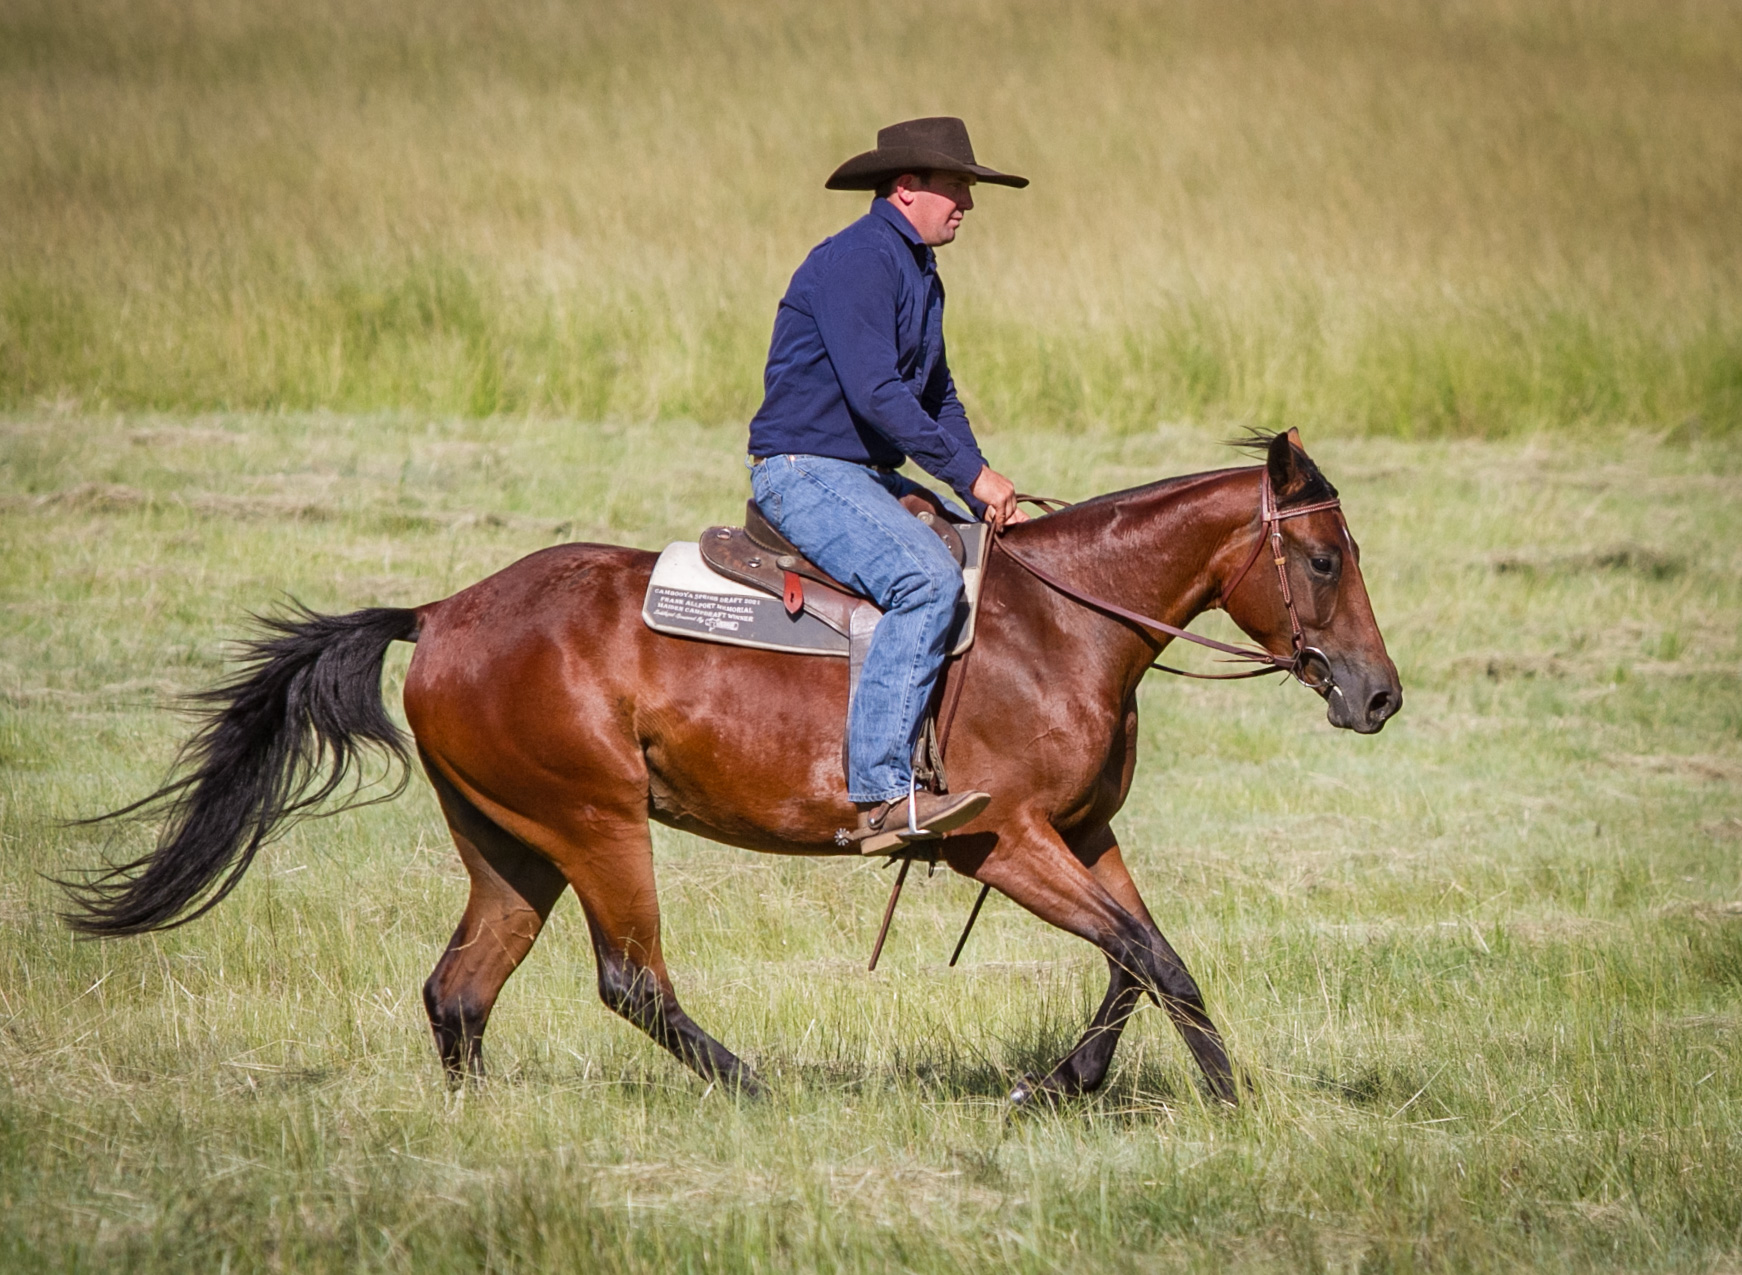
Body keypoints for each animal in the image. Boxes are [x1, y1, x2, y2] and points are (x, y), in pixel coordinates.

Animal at [65, 428, 1400, 1107]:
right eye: (1323, 558)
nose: (1378, 693)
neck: (1058, 626)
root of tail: (441, 614)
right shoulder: (1000, 841)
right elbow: (1143, 951)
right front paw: (1194, 1096)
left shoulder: (1078, 836)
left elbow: (1144, 957)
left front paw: (1085, 1083)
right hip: (596, 824)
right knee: (630, 982)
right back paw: (759, 1092)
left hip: (509, 845)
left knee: (459, 991)